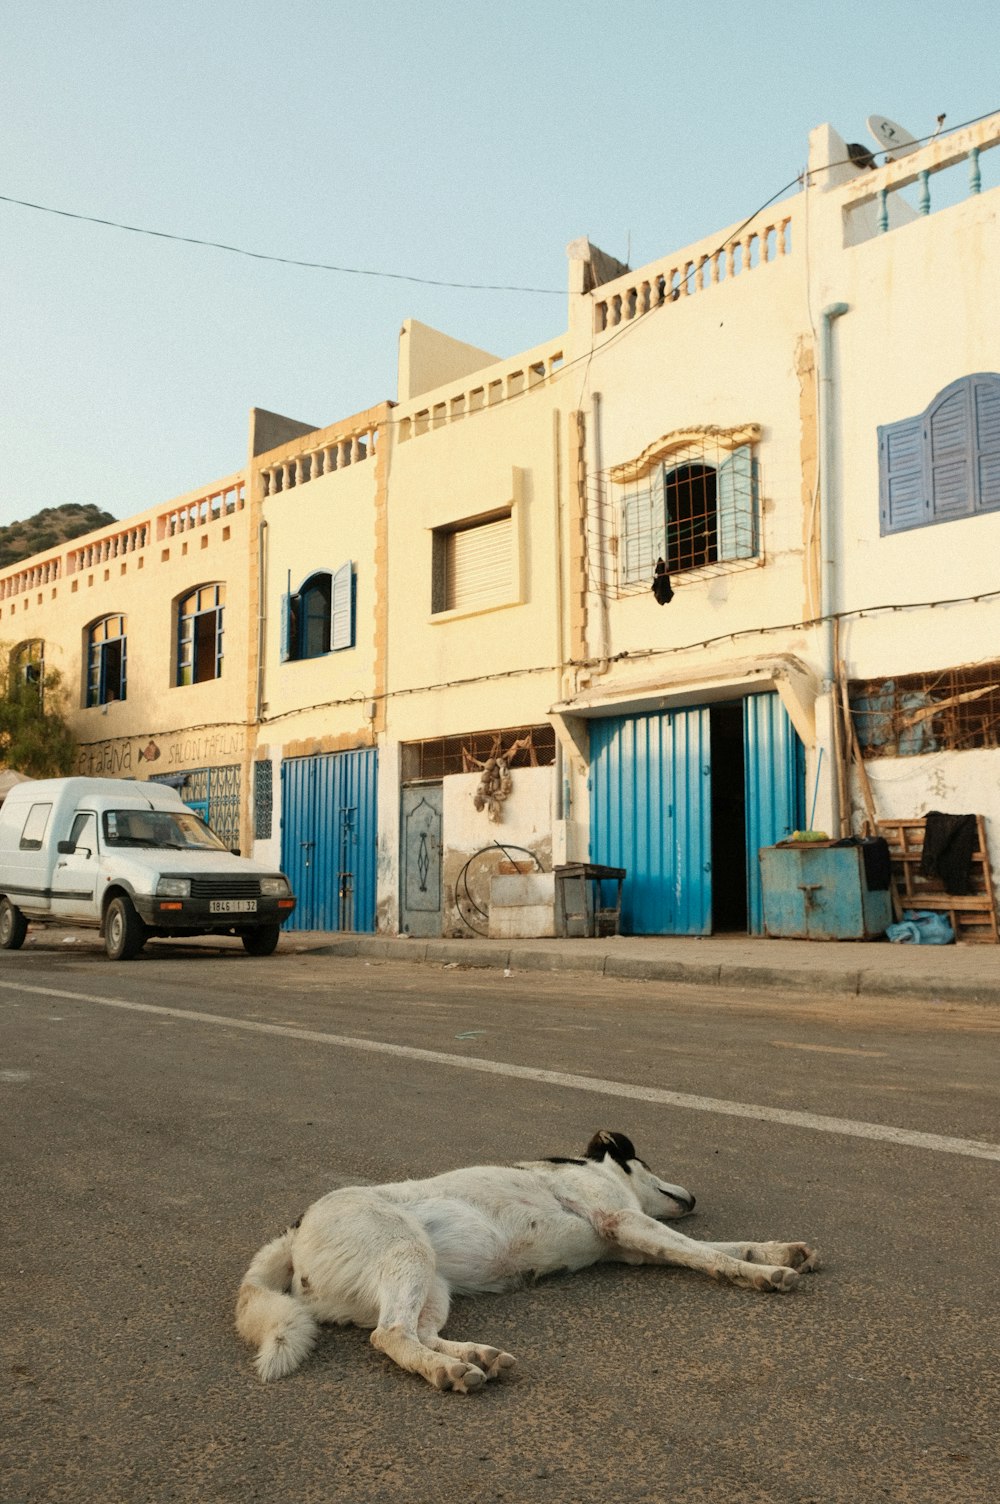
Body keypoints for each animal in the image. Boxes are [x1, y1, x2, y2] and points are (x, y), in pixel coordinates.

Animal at [236, 1124, 818, 1389]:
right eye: (647, 1161)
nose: (694, 1197)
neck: (595, 1170)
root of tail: (294, 1230)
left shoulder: (634, 1245)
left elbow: (713, 1248)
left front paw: (780, 1250)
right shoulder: (624, 1221)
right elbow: (710, 1254)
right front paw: (764, 1272)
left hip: (431, 1284)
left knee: (416, 1331)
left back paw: (476, 1357)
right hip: (405, 1252)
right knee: (391, 1334)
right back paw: (448, 1371)